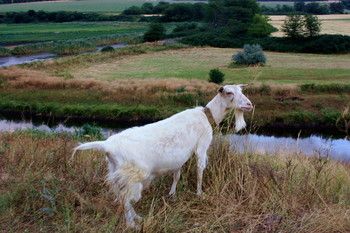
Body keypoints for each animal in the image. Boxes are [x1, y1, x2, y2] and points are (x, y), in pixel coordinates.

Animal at [72, 84, 252, 228]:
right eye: (229, 92)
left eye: (242, 90)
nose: (249, 104)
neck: (208, 116)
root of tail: (107, 145)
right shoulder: (202, 145)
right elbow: (200, 171)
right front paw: (199, 193)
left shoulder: (179, 158)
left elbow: (176, 175)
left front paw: (172, 194)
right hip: (133, 175)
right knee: (126, 200)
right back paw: (132, 224)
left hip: (117, 172)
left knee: (124, 198)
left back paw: (137, 218)